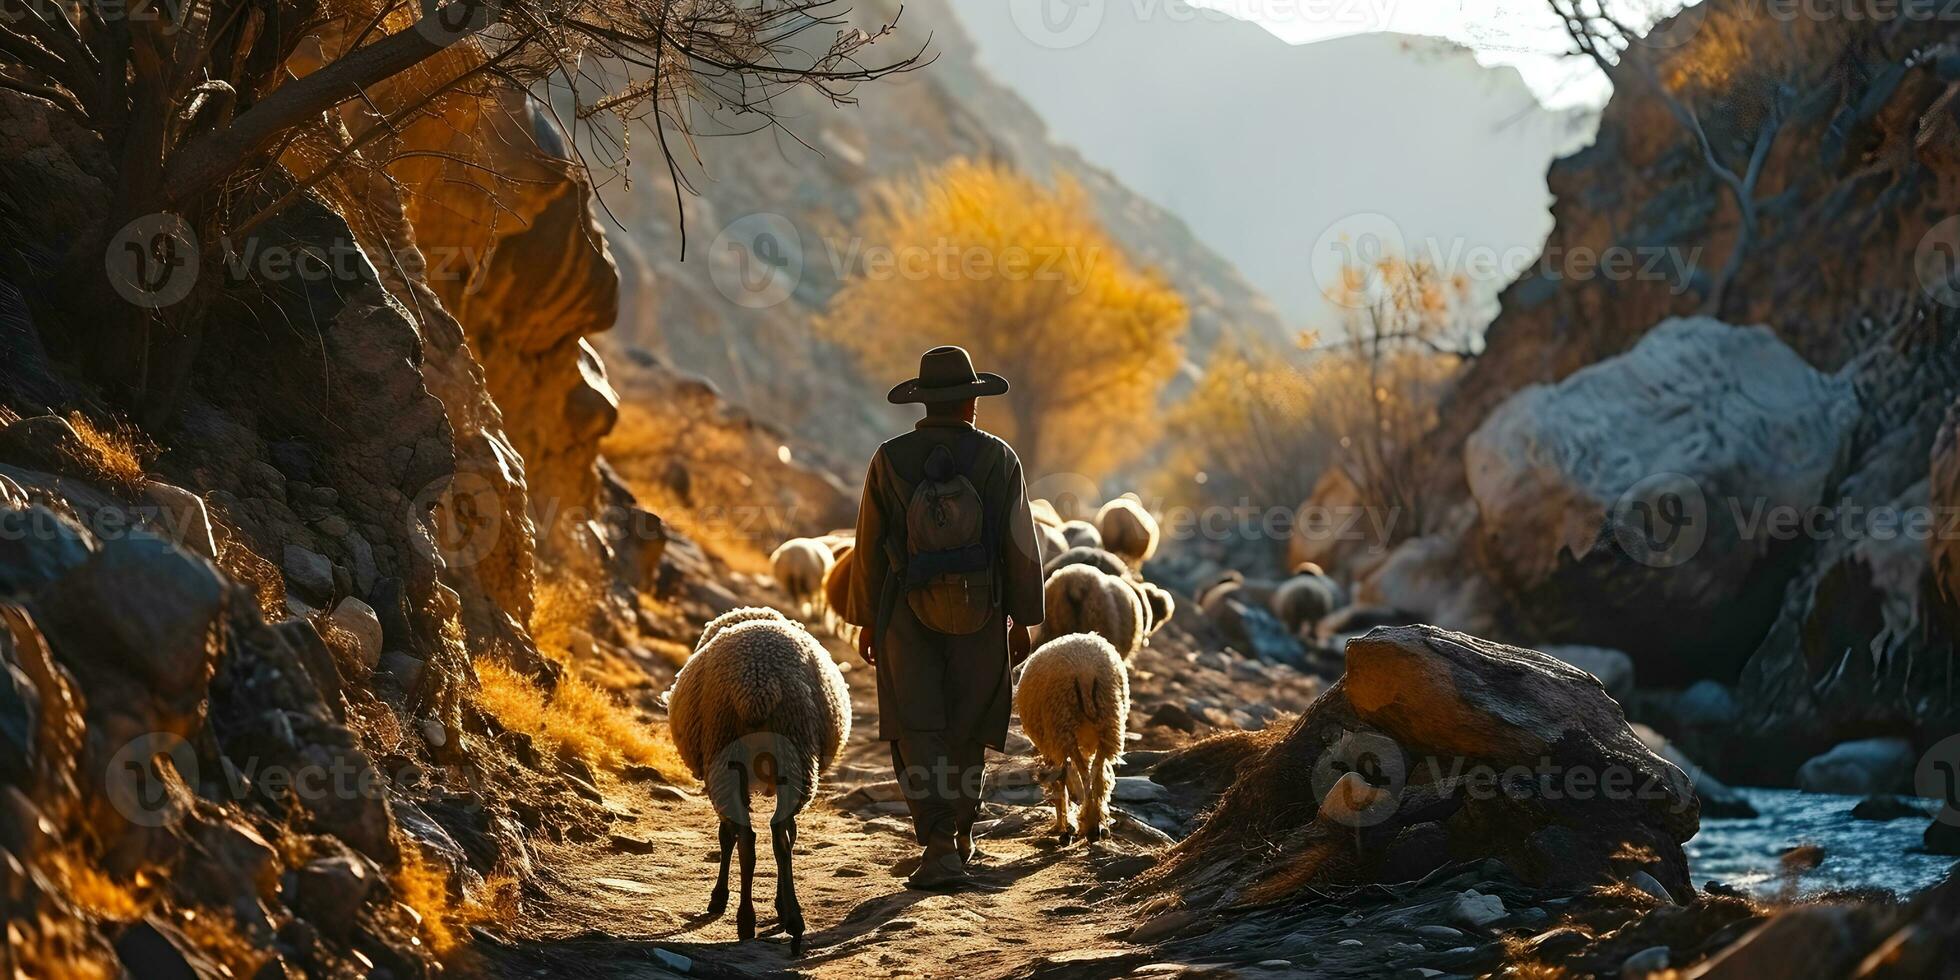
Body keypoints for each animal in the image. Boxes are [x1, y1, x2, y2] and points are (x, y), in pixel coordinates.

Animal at [662, 607, 846, 952]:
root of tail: (757, 684)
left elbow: (726, 836)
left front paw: (719, 898)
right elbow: (784, 835)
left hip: (730, 756)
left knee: (748, 838)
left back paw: (747, 919)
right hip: (794, 754)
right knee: (777, 836)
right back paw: (791, 920)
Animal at [1011, 631, 1136, 846]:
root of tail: (1085, 672)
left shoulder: (1051, 747)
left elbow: (1059, 782)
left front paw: (1062, 826)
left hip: (1063, 726)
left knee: (1083, 775)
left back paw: (1089, 826)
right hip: (1108, 723)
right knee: (1096, 774)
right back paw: (1098, 824)